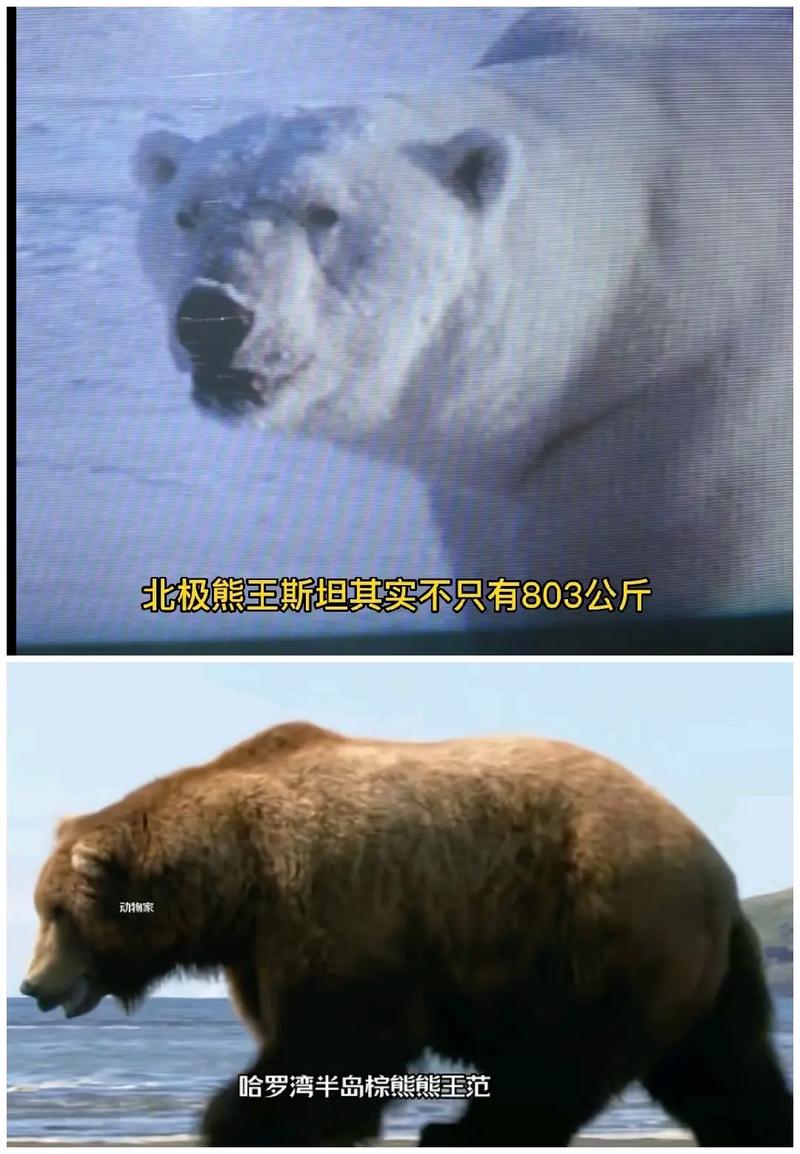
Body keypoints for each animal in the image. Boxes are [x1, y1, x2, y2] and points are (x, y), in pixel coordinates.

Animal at [21, 719, 791, 1146]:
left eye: (56, 913)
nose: (31, 984)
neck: (238, 877)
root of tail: (715, 869)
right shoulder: (263, 940)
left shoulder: (338, 904)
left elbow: (339, 1037)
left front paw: (237, 1121)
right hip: (693, 962)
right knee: (724, 1064)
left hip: (598, 930)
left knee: (564, 1058)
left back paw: (463, 1131)